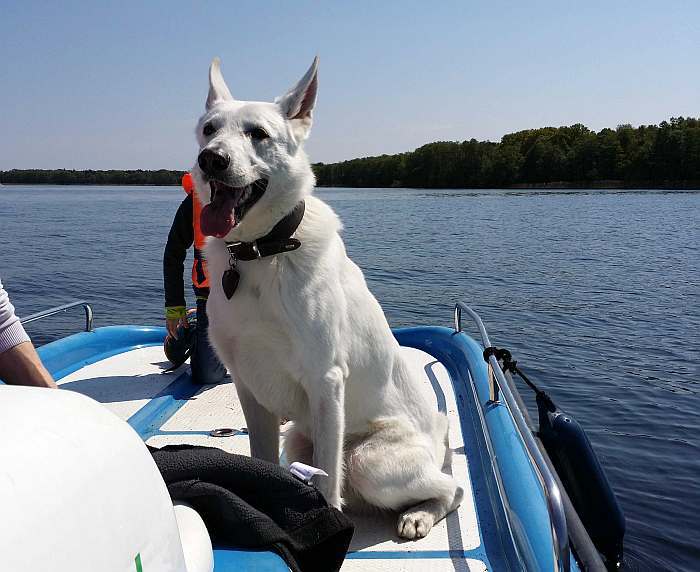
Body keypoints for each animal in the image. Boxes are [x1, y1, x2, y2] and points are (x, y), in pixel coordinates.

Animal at [194, 58, 462, 540]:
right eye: (208, 130)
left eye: (257, 134)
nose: (211, 160)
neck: (261, 252)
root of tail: (436, 439)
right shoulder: (247, 384)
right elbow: (261, 460)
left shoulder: (326, 381)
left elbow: (327, 482)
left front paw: (330, 522)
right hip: (299, 436)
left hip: (369, 459)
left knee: (451, 488)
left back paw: (417, 515)